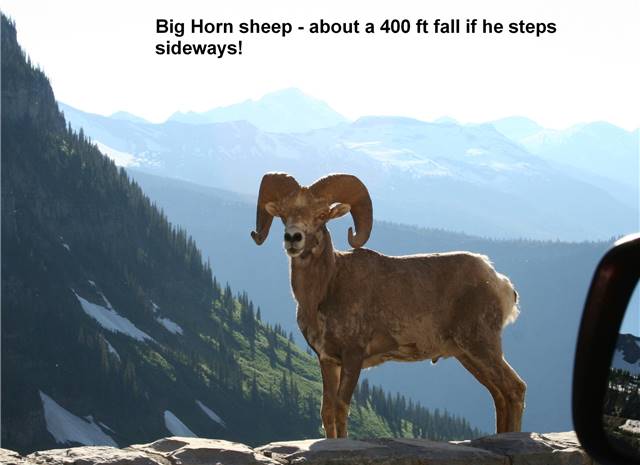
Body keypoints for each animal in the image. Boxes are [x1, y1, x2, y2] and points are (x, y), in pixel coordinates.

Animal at [250, 172, 526, 439]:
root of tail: (500, 283)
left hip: (480, 345)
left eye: (320, 215)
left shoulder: (353, 356)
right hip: (467, 355)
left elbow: (340, 408)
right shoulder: (328, 360)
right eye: (283, 215)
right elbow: (327, 411)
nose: (292, 238)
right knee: (499, 394)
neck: (326, 288)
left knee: (514, 388)